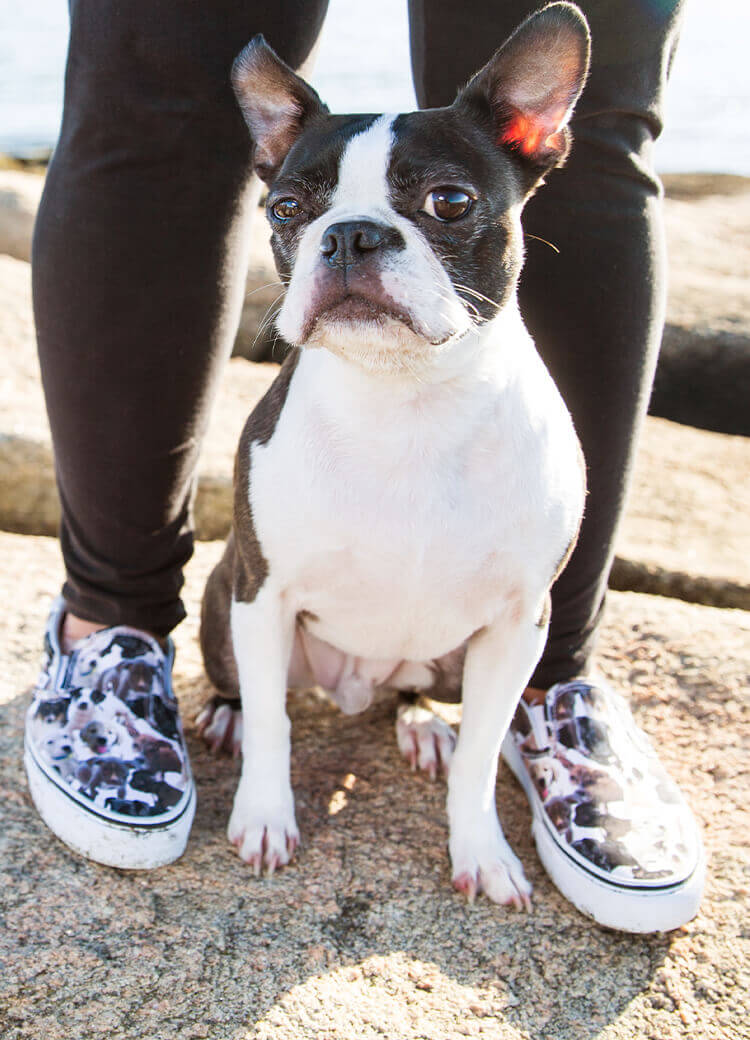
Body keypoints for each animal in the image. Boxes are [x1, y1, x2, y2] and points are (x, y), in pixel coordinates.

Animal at [195, 2, 586, 911]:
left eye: (449, 200)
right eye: (285, 208)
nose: (350, 235)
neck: (403, 400)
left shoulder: (520, 623)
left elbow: (481, 755)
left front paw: (483, 852)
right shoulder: (263, 591)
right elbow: (276, 724)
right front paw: (264, 817)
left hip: (451, 654)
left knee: (416, 692)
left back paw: (417, 722)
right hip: (222, 597)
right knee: (248, 687)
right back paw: (227, 715)